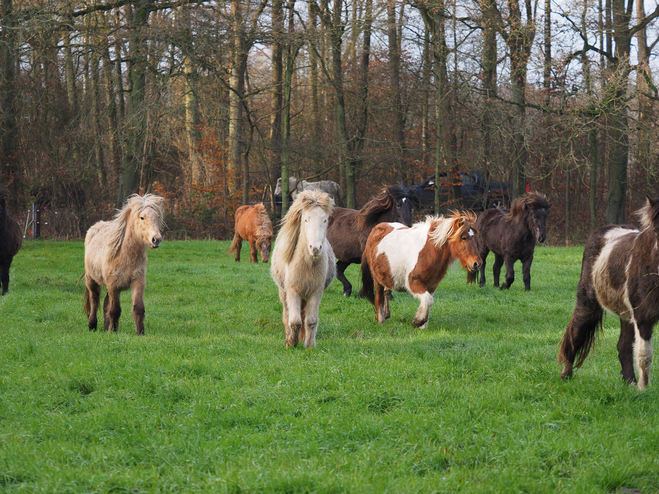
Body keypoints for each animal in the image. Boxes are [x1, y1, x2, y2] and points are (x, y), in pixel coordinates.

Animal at [83, 193, 165, 336]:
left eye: (157, 216)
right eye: (142, 217)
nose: (156, 239)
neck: (124, 255)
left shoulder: (137, 282)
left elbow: (138, 307)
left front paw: (140, 332)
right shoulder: (113, 285)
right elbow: (115, 310)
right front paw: (114, 331)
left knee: (105, 304)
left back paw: (105, 328)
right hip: (91, 279)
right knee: (94, 299)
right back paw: (92, 325)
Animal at [270, 189, 338, 348]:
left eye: (325, 220)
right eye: (306, 219)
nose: (315, 248)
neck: (307, 264)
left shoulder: (315, 292)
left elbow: (311, 321)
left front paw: (310, 345)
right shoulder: (292, 291)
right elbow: (294, 321)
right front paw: (291, 343)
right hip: (283, 292)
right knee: (287, 316)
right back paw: (288, 338)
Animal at [560, 197, 659, 390]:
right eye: (656, 229)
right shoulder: (643, 316)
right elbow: (645, 355)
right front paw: (644, 390)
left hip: (626, 313)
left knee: (623, 346)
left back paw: (630, 383)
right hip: (588, 302)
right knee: (575, 333)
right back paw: (565, 375)